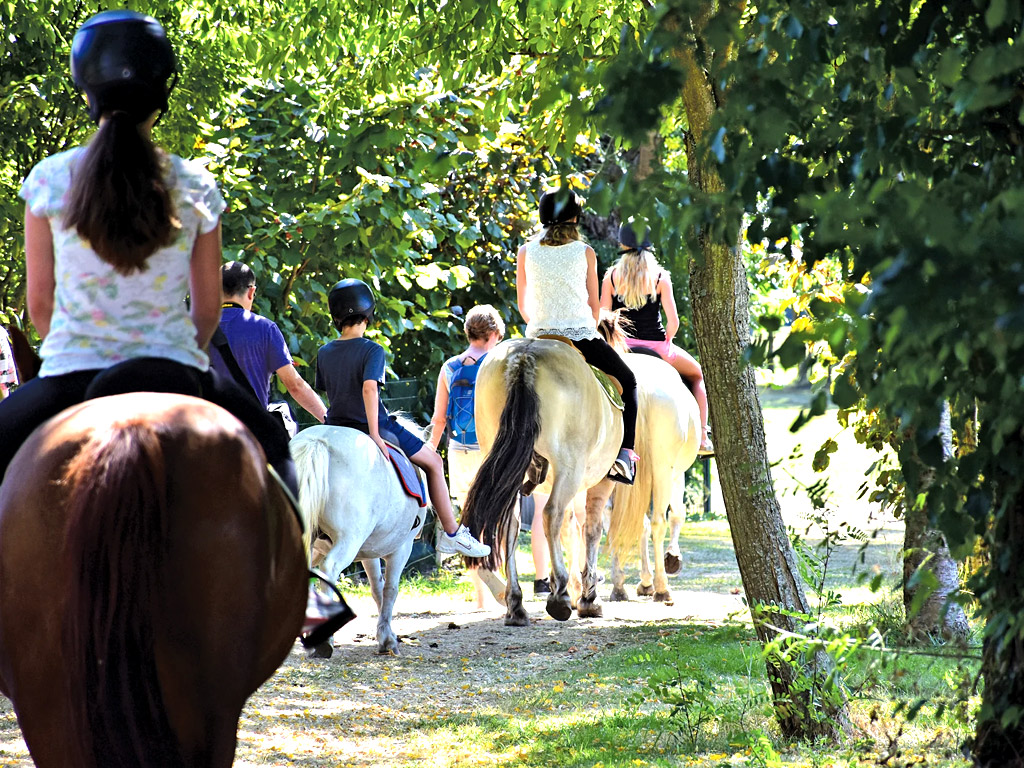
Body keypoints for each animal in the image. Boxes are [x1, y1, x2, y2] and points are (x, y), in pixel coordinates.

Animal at [292, 423, 428, 659]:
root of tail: (318, 441)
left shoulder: (368, 551)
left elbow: (376, 588)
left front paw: (386, 633)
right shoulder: (402, 547)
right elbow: (390, 589)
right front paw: (387, 638)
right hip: (350, 539)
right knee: (329, 568)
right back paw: (325, 640)